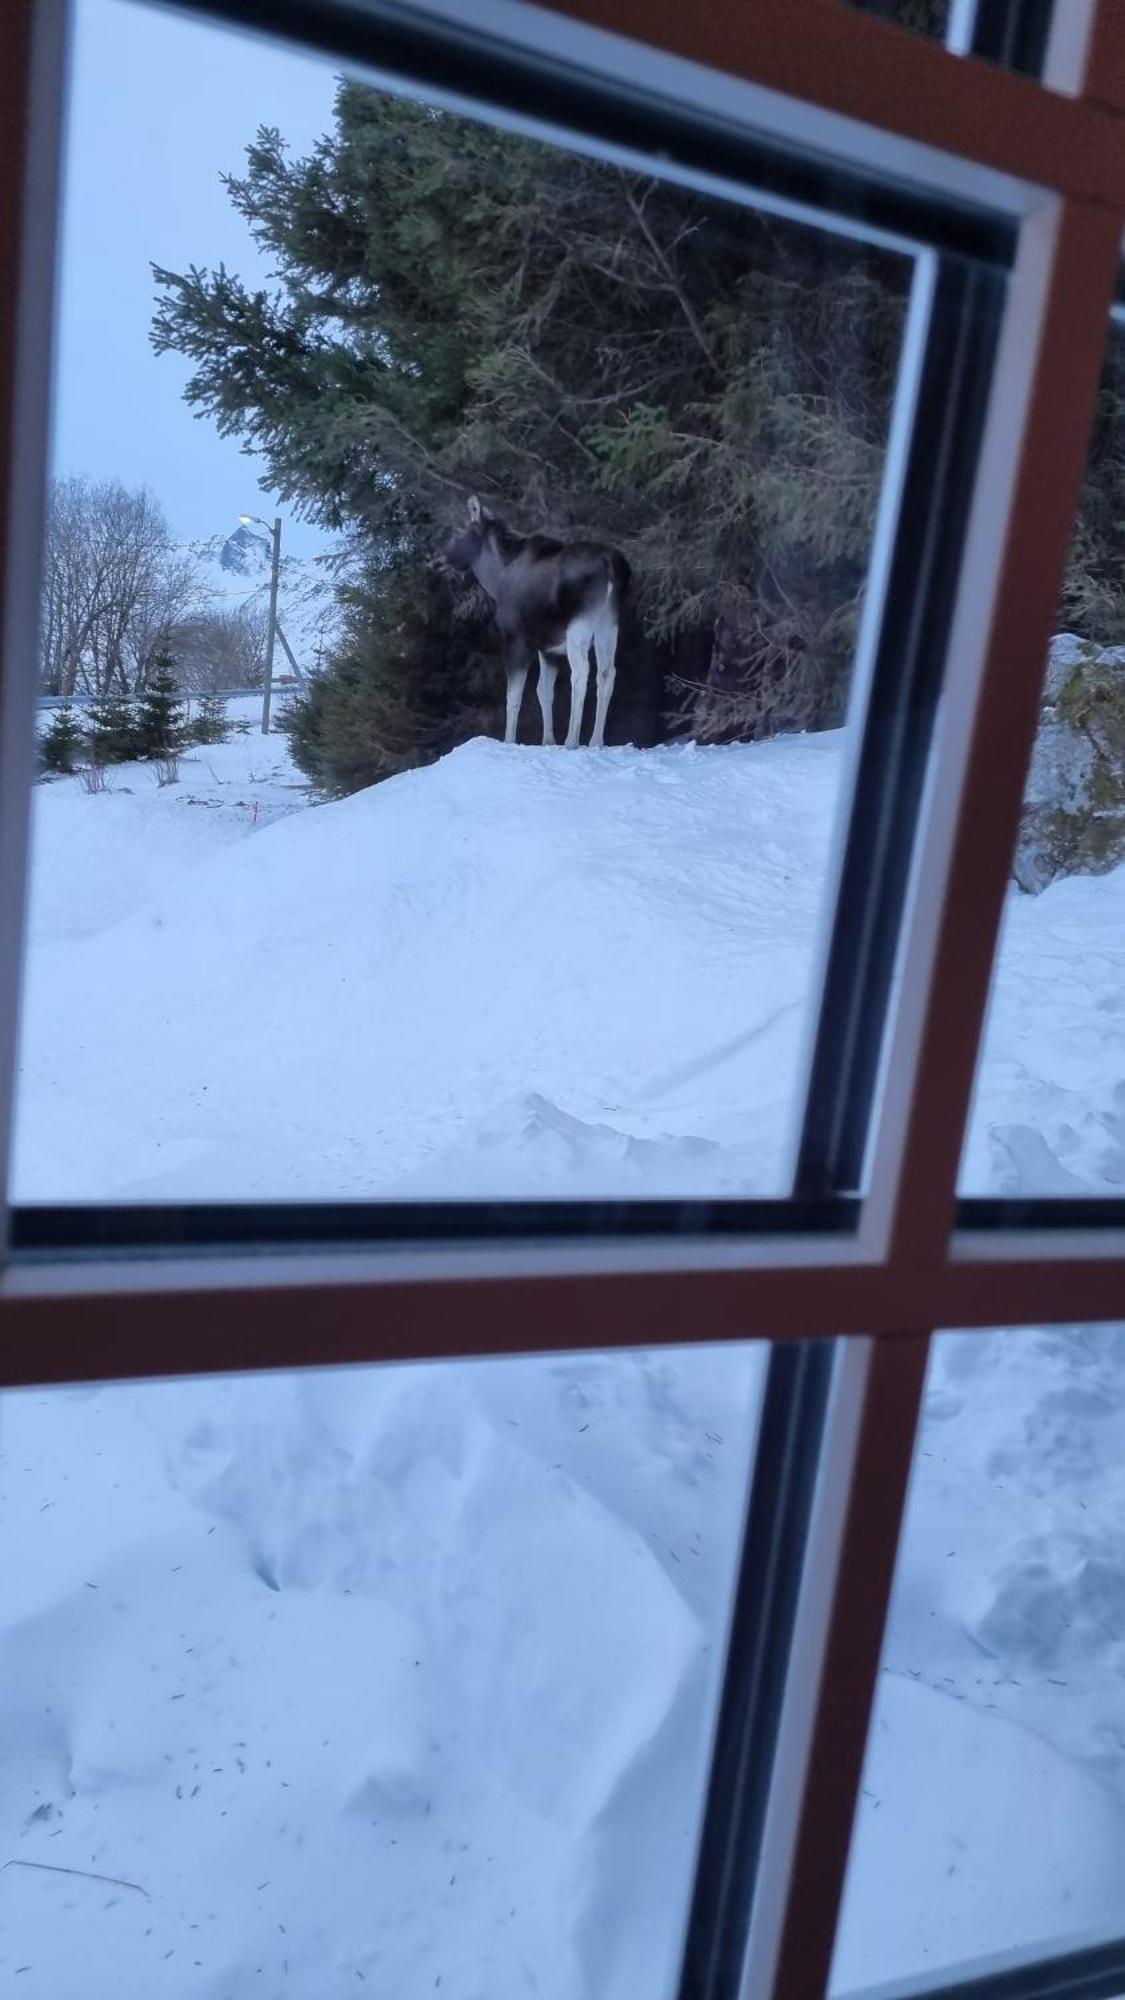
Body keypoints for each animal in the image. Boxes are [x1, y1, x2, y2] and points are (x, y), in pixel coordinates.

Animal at [438, 498, 624, 752]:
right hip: (608, 623)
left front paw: (509, 740)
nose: (437, 558)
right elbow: (543, 691)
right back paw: (596, 741)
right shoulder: (548, 649)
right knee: (607, 672)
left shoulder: (515, 639)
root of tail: (611, 564)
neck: (496, 580)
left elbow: (513, 695)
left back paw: (572, 740)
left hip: (580, 625)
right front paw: (548, 740)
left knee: (581, 672)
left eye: (459, 532)